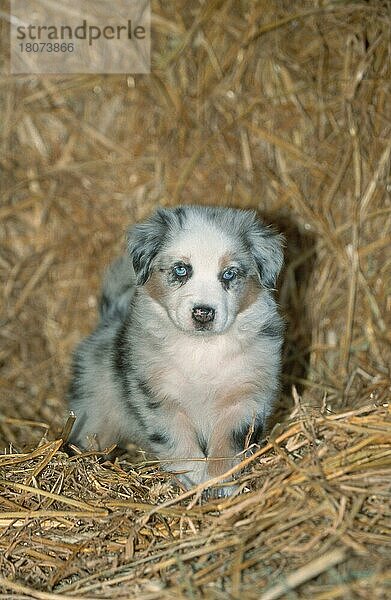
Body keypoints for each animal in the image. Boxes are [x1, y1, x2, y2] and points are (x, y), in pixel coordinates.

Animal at [68, 206, 284, 496]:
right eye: (181, 270)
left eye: (229, 274)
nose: (203, 313)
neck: (202, 349)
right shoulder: (158, 397)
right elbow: (178, 443)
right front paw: (192, 480)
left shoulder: (245, 397)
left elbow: (229, 444)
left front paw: (221, 483)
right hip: (91, 411)